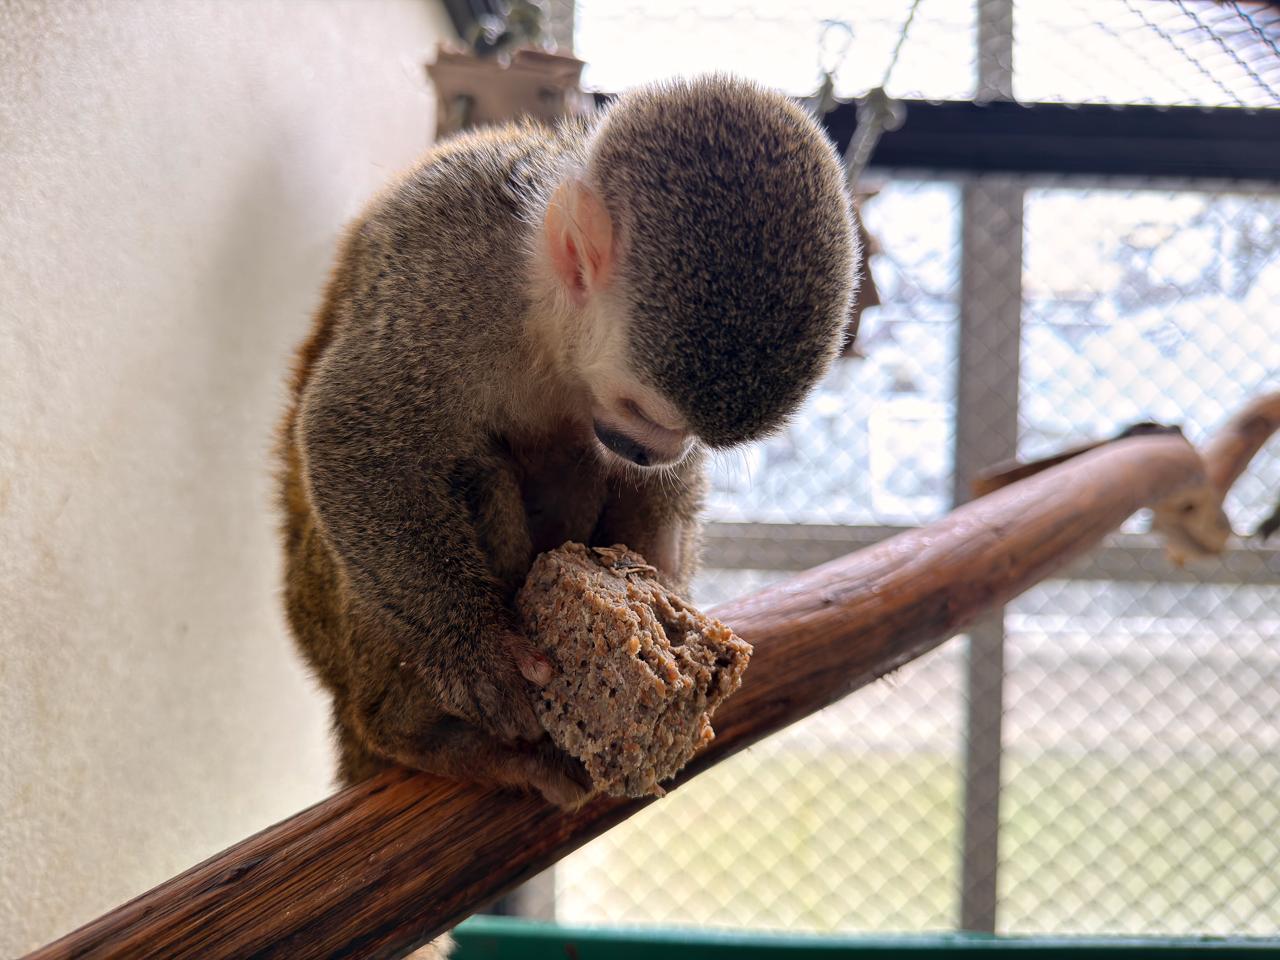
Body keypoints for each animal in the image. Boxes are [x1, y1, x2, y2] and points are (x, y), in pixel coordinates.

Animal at [277, 76, 859, 818]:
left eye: (690, 433)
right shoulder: (446, 270)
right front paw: (471, 647)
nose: (658, 452)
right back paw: (420, 735)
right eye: (640, 408)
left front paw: (666, 606)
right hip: (331, 624)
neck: (543, 307)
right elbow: (351, 429)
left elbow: (656, 499)